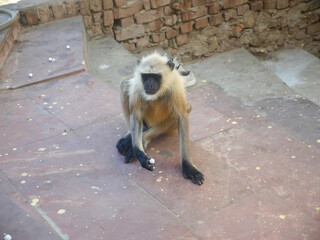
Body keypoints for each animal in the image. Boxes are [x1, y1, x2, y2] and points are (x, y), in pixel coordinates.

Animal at [116, 51, 204, 185]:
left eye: (156, 76)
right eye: (146, 76)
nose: (150, 84)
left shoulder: (175, 86)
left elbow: (182, 116)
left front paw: (188, 165)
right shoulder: (138, 85)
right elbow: (136, 115)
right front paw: (140, 154)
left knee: (185, 109)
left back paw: (143, 139)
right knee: (124, 84)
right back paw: (131, 137)